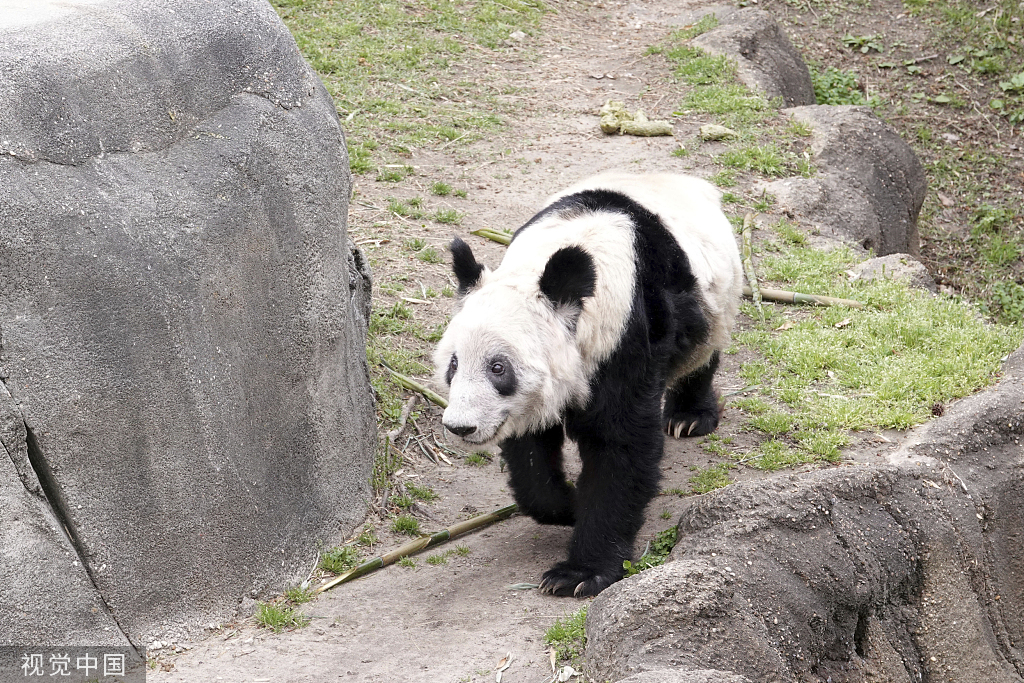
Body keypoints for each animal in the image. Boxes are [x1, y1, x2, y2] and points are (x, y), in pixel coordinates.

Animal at [434, 172, 745, 598]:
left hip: (713, 297)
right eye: (454, 363)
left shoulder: (623, 335)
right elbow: (530, 452)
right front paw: (566, 505)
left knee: (702, 351)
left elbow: (620, 445)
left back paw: (689, 416)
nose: (460, 426)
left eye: (498, 368)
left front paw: (579, 574)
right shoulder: (523, 402)